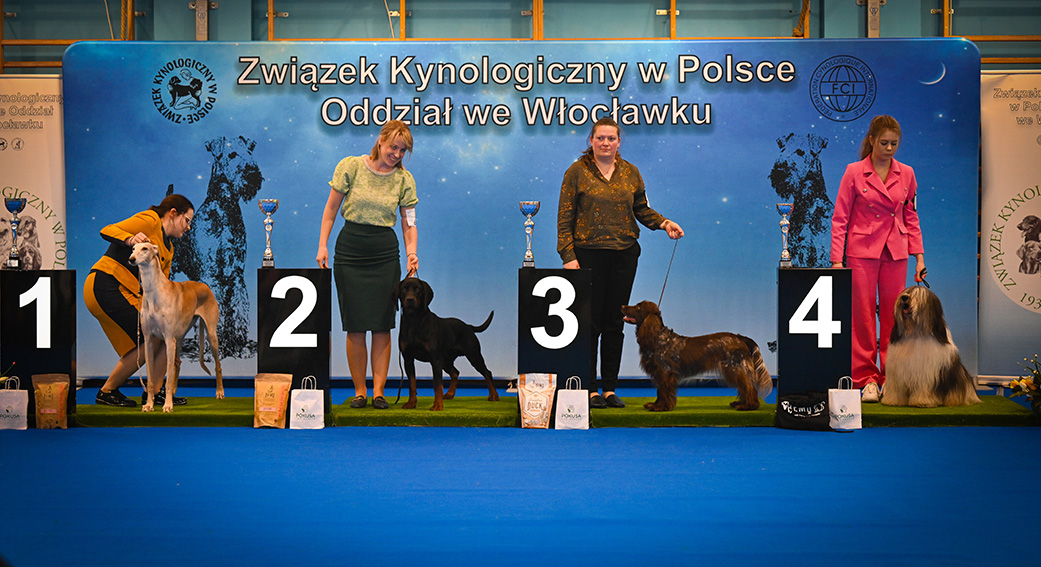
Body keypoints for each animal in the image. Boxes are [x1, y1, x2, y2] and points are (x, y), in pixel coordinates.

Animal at [129, 242, 224, 412]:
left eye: (145, 248)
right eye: (133, 248)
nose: (131, 259)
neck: (154, 292)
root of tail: (204, 285)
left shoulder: (168, 339)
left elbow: (167, 379)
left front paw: (167, 405)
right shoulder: (148, 340)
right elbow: (151, 379)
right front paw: (149, 404)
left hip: (210, 335)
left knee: (218, 365)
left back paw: (219, 392)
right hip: (179, 338)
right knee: (178, 362)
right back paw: (173, 393)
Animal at [392, 277, 499, 411]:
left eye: (417, 289)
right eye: (404, 289)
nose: (410, 299)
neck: (414, 321)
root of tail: (468, 326)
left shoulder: (435, 359)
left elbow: (437, 384)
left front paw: (437, 405)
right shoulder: (408, 359)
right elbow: (412, 384)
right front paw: (411, 403)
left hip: (473, 355)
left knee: (487, 373)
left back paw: (494, 395)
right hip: (446, 360)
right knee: (455, 373)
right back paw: (449, 394)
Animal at [621, 301, 773, 411]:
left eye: (638, 307)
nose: (622, 306)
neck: (657, 338)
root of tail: (740, 337)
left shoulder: (665, 372)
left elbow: (664, 391)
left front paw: (661, 407)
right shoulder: (660, 373)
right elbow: (660, 391)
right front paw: (655, 404)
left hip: (734, 367)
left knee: (749, 387)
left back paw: (748, 406)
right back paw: (741, 403)